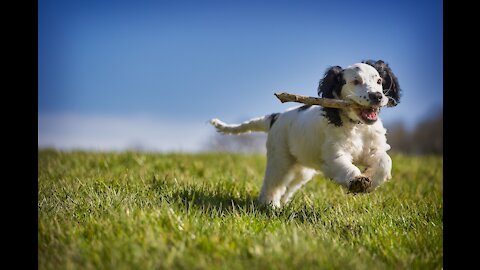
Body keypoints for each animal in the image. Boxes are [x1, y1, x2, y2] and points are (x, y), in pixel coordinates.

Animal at [210, 60, 402, 208]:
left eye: (379, 81)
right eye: (355, 81)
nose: (377, 96)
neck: (356, 126)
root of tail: (276, 117)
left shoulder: (374, 149)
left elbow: (385, 161)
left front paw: (370, 180)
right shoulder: (334, 155)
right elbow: (346, 166)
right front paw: (357, 181)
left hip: (302, 170)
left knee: (288, 187)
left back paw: (282, 204)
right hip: (280, 159)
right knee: (272, 184)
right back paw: (270, 205)